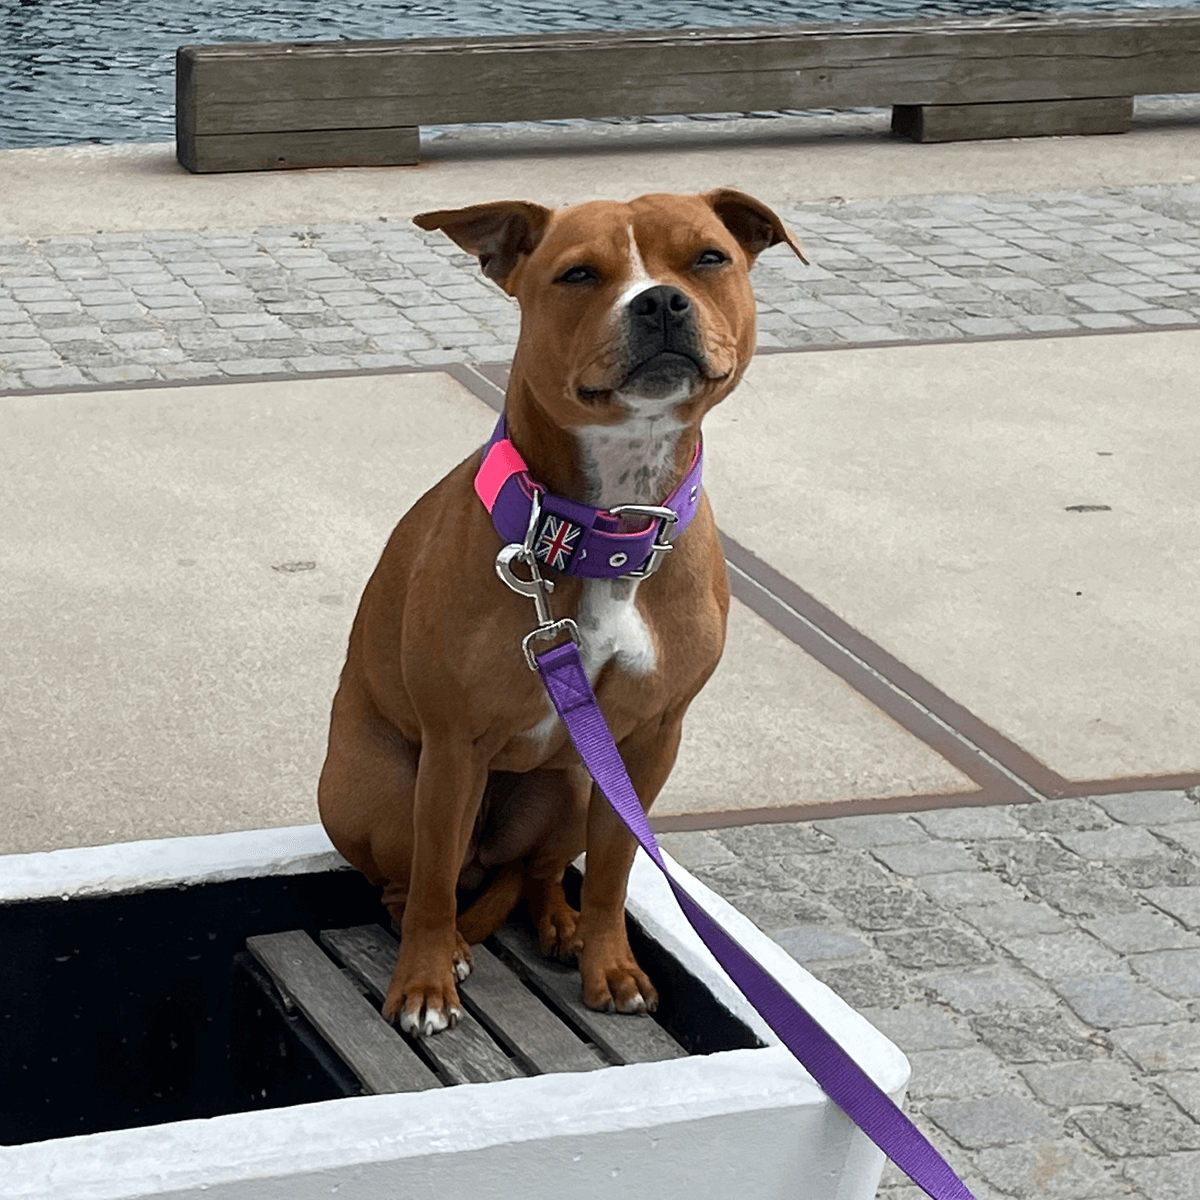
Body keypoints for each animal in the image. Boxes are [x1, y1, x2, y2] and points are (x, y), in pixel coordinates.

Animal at [319, 187, 806, 1032]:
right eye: (578, 274)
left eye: (709, 257)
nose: (660, 301)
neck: (606, 530)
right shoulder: (454, 747)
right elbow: (434, 885)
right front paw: (424, 984)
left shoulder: (648, 743)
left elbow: (613, 870)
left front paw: (609, 962)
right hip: (383, 790)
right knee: (413, 885)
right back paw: (451, 942)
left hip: (576, 785)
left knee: (539, 870)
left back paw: (559, 924)